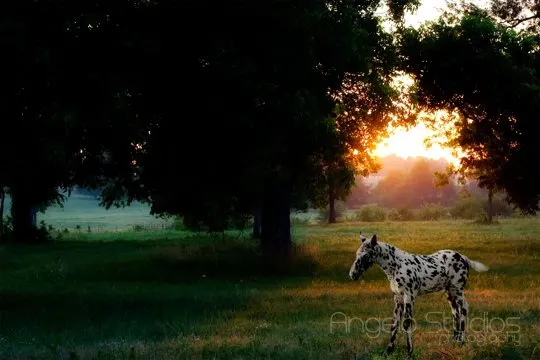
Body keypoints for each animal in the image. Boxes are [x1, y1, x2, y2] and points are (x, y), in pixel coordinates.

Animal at [348, 233, 492, 358]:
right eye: (356, 254)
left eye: (366, 255)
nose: (353, 274)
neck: (396, 266)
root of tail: (463, 257)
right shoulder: (398, 299)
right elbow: (394, 323)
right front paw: (388, 351)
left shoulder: (409, 296)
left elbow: (407, 323)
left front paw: (409, 352)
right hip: (450, 293)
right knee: (455, 312)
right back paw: (454, 341)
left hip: (457, 290)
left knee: (463, 310)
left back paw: (461, 341)